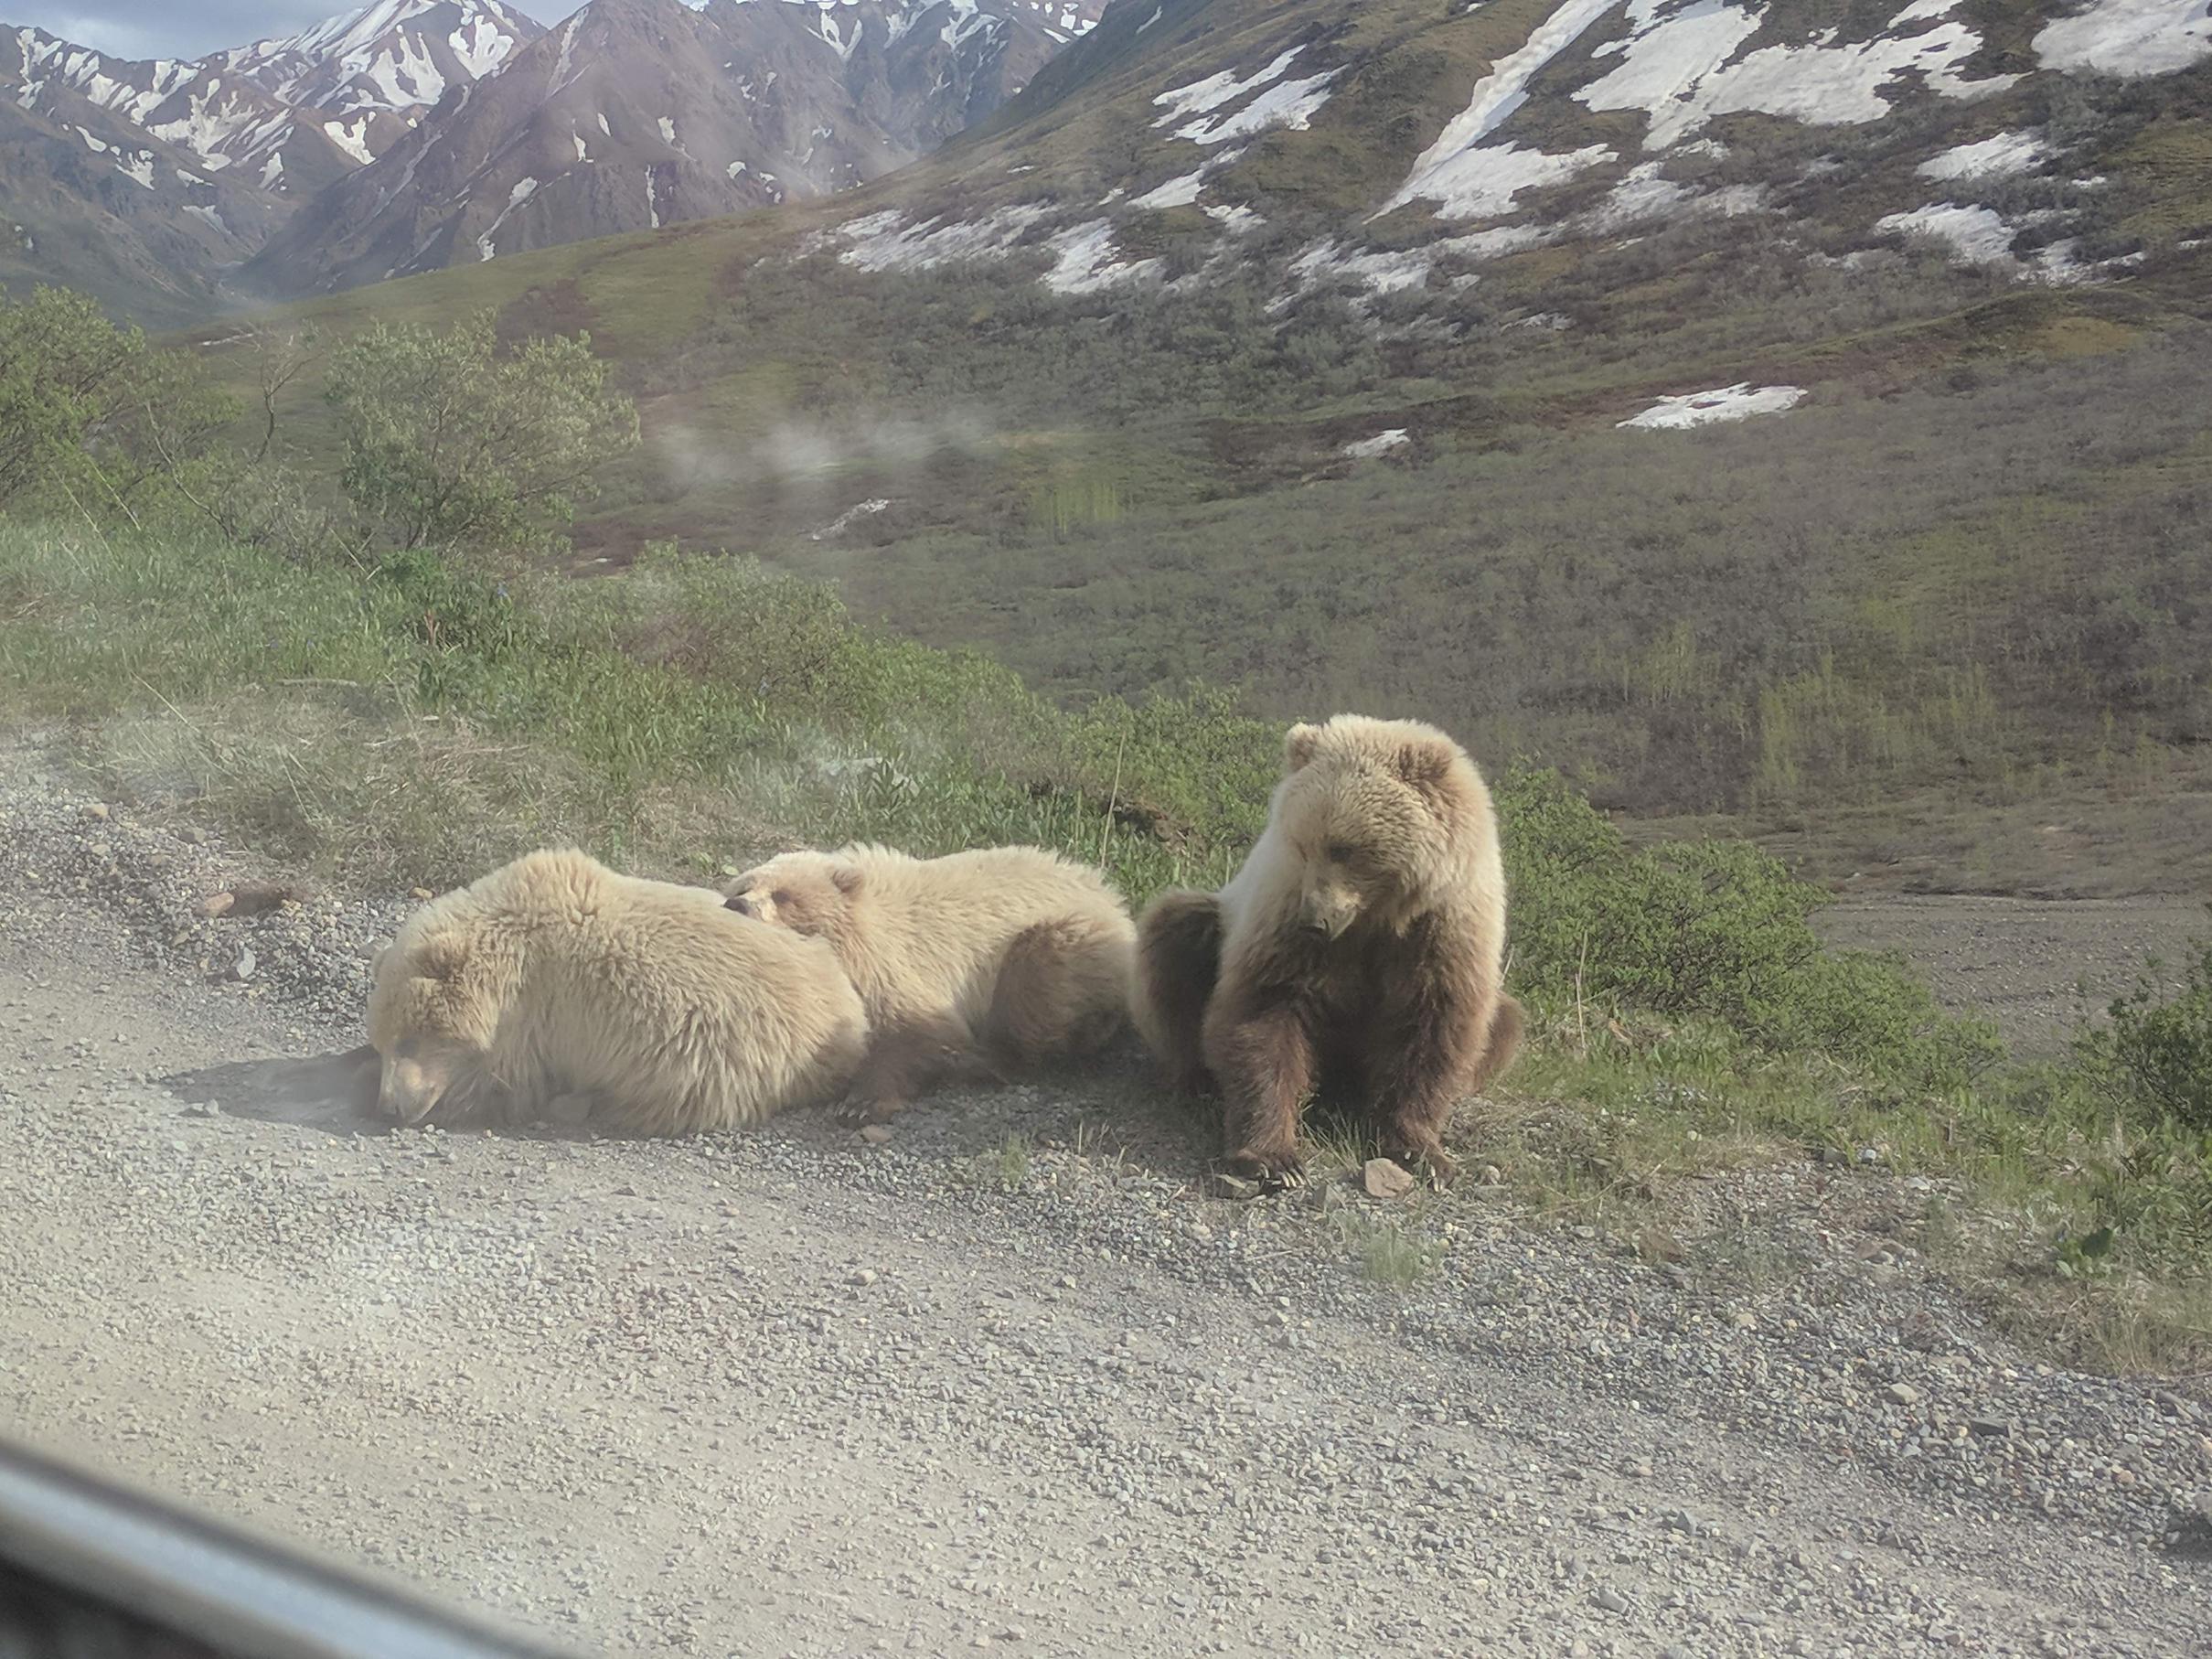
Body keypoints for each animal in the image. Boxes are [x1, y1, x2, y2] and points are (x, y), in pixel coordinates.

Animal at [367, 849, 867, 1141]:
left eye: (409, 1040)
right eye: (383, 1043)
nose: (389, 1106)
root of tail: (852, 1012)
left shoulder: (536, 1016)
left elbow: (500, 1085)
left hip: (711, 1068)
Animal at [1132, 712, 1530, 1185]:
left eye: (1344, 848)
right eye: (1303, 844)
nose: (1314, 919)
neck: (1378, 915)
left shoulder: (1442, 928)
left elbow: (1433, 1025)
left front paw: (1421, 1151)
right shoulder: (1284, 914)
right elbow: (1267, 1009)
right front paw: (1273, 1159)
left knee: (1505, 1021)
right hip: (1215, 924)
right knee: (1176, 937)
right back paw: (1200, 1081)